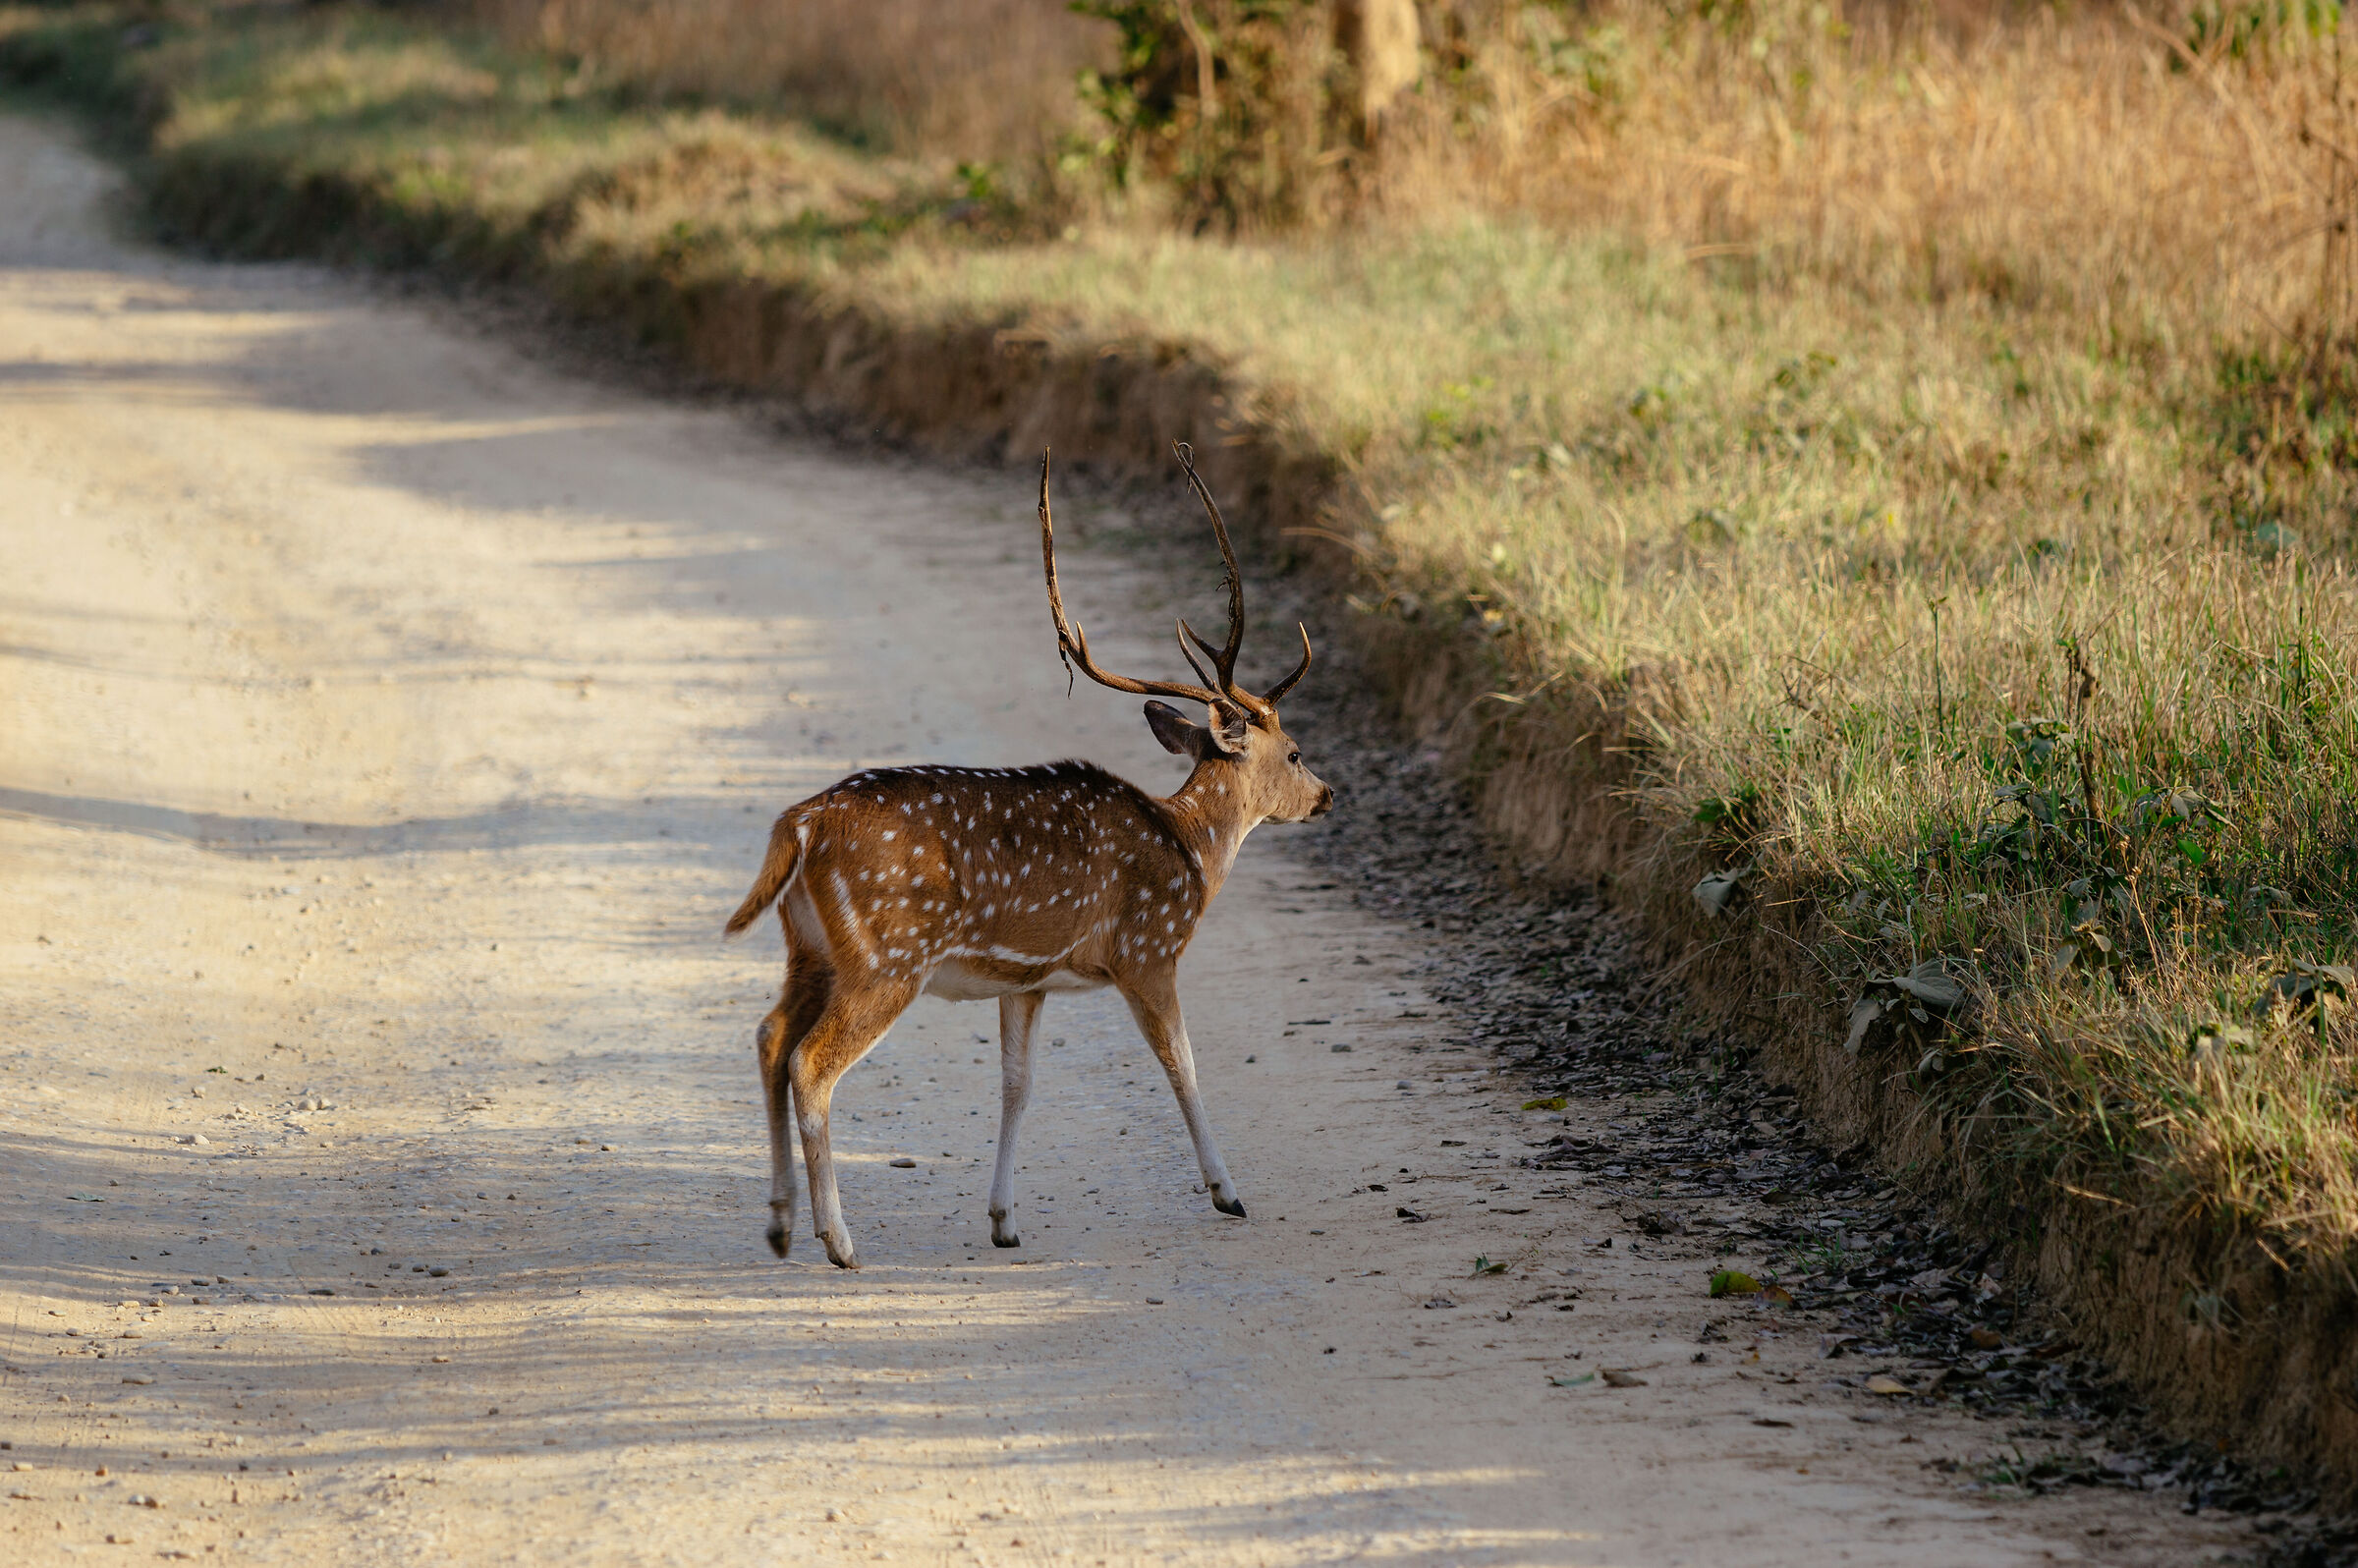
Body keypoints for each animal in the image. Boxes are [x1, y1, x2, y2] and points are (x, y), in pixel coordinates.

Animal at [725, 443, 1334, 1269]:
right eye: (1296, 751)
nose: (1327, 793)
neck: (1191, 853)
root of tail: (800, 822)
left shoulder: (1027, 980)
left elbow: (1018, 1084)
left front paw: (1004, 1220)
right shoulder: (1148, 950)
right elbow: (1181, 1063)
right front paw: (1228, 1193)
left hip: (809, 946)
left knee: (768, 1037)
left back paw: (782, 1223)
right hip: (887, 955)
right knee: (809, 1062)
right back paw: (839, 1241)